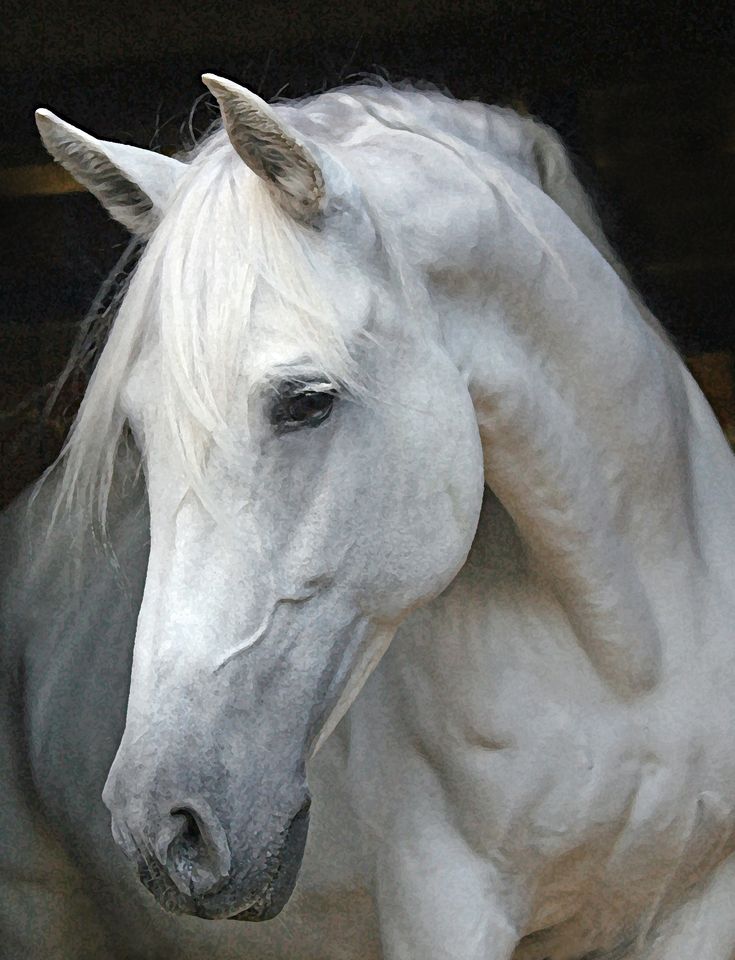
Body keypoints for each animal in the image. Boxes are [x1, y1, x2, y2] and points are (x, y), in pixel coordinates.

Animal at [1, 77, 735, 960]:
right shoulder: (446, 907)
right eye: (138, 433)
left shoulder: (698, 904)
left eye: (306, 401)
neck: (628, 661)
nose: (163, 829)